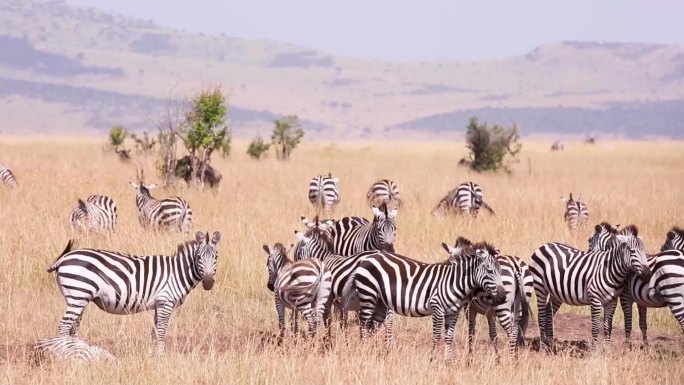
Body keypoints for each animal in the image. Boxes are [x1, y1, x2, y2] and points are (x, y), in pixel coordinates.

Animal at [342, 242, 508, 358]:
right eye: (489, 271)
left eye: (500, 271)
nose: (503, 296)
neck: (454, 282)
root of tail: (366, 259)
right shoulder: (437, 308)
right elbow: (437, 336)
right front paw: (433, 360)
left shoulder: (453, 313)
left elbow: (449, 337)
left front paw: (448, 361)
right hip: (368, 296)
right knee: (364, 326)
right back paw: (364, 351)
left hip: (380, 303)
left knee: (372, 327)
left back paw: (374, 353)